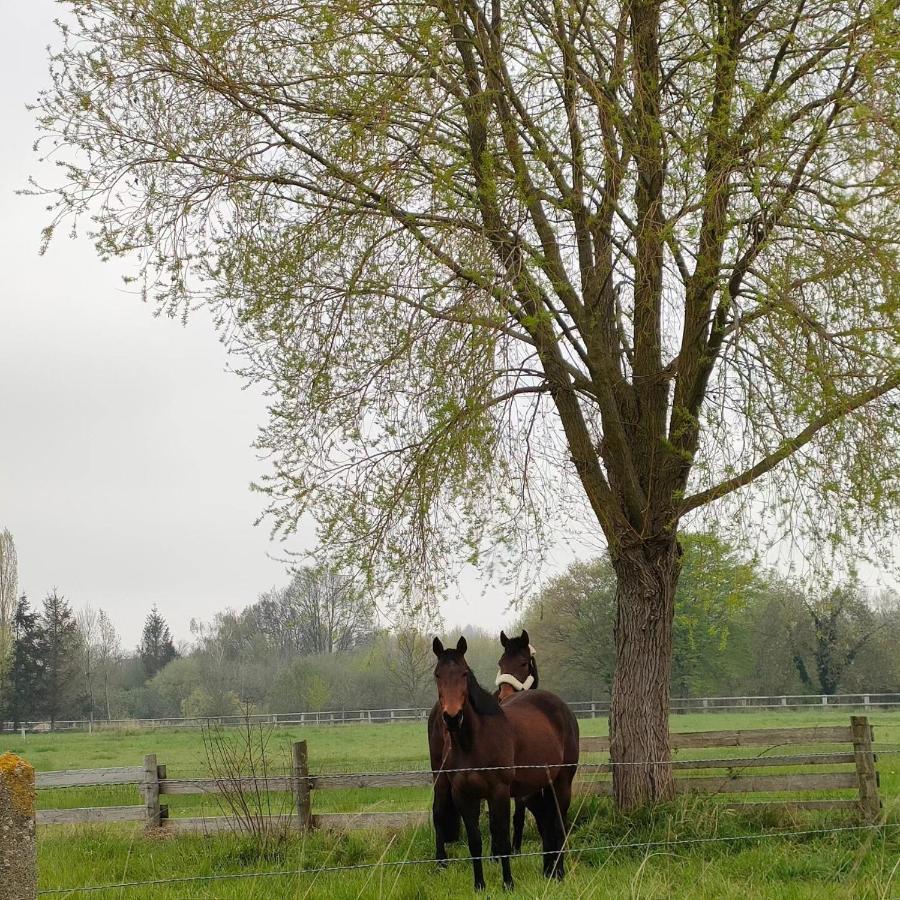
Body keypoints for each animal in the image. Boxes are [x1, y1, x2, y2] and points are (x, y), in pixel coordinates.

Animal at [430, 636, 584, 888]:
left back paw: (559, 872)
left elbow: (502, 837)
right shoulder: (464, 795)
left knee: (558, 824)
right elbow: (475, 841)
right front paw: (479, 885)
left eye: (464, 673)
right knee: (547, 822)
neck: (472, 742)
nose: (452, 717)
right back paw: (548, 871)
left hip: (561, 782)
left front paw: (508, 883)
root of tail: (562, 707)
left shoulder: (499, 792)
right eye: (437, 674)